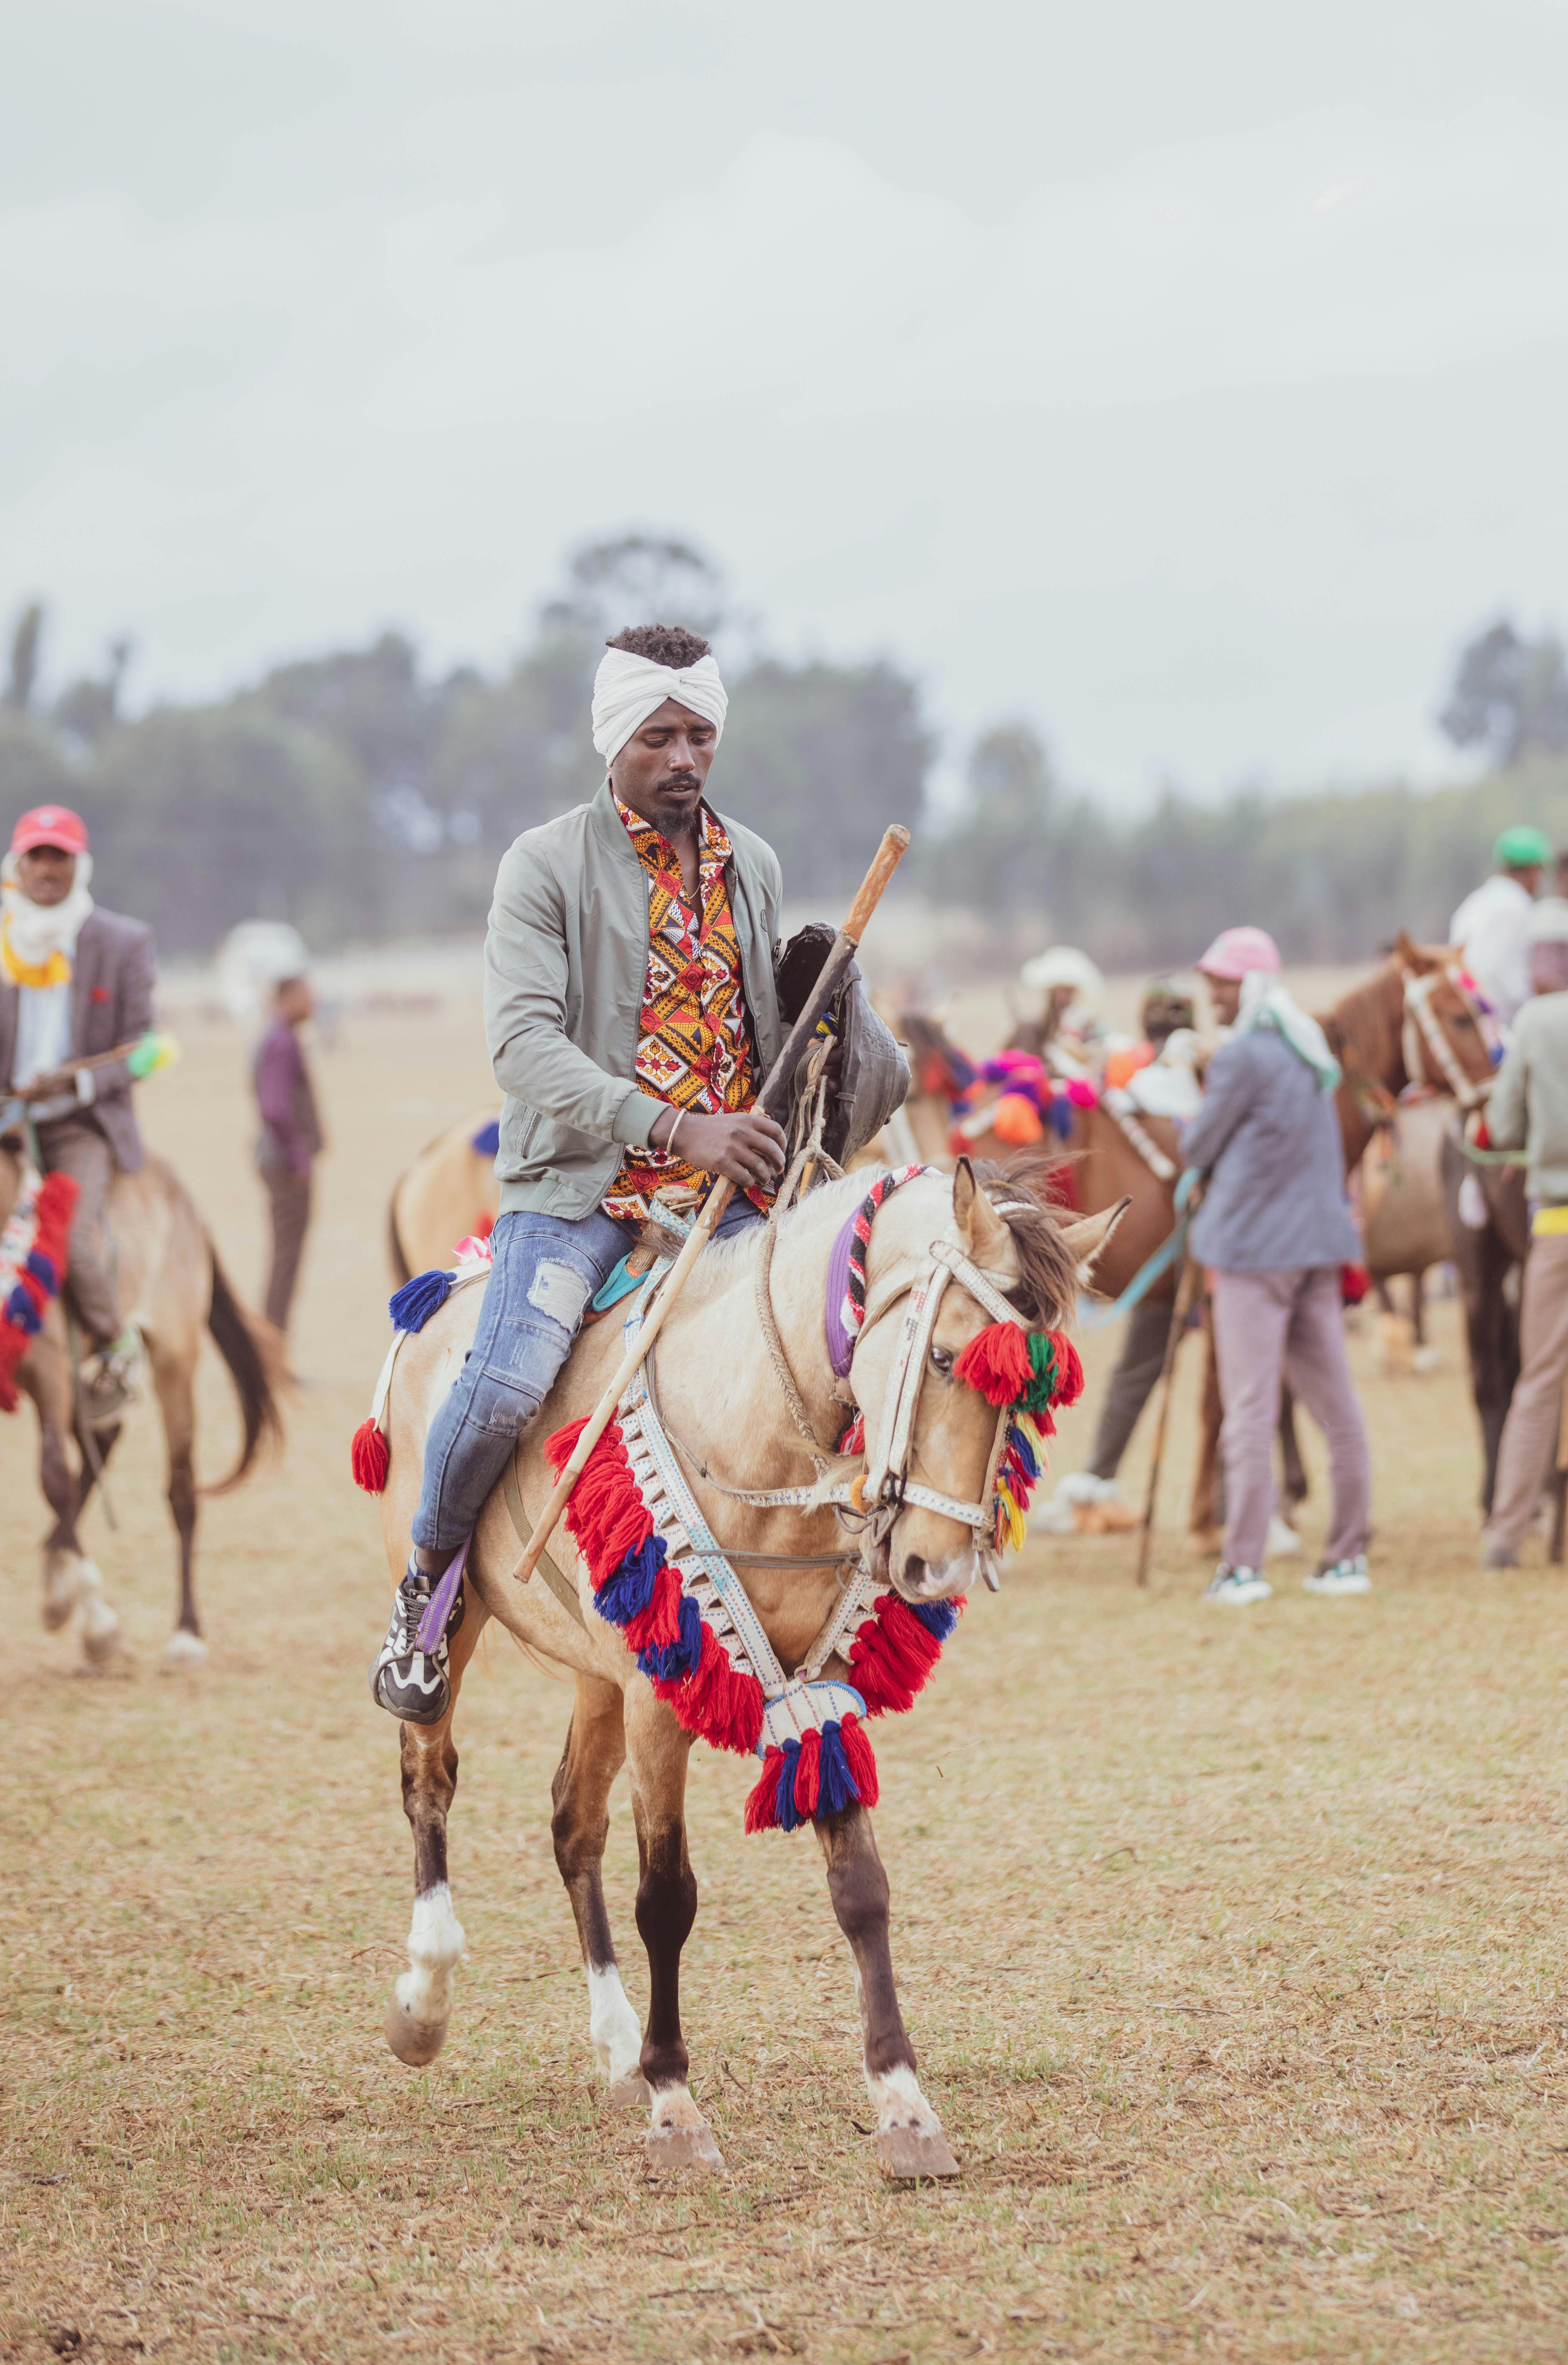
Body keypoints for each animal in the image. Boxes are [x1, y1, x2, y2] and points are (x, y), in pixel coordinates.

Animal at [1, 1140, 282, 1665]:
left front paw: (99, 1624)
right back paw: (57, 1580)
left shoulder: (49, 1371)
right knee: (104, 1438)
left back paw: (186, 1632)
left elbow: (53, 1478)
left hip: (173, 1358)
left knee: (180, 1490)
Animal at [373, 1164, 1121, 2176]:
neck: (758, 1425)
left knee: (573, 1822)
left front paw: (904, 2105)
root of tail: (452, 1284)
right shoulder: (659, 1704)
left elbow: (861, 1889)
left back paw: (614, 2043)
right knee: (430, 1778)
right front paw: (676, 2106)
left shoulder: (815, 1679)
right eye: (941, 1358)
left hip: (598, 1677)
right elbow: (667, 1899)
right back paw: (427, 2000)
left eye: (1034, 1391)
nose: (938, 1567)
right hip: (460, 1621)